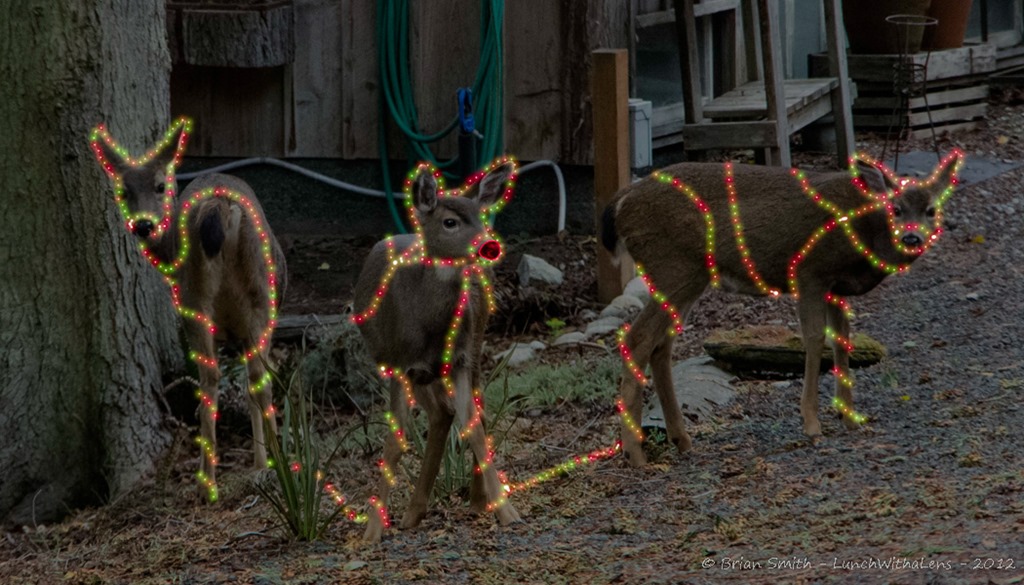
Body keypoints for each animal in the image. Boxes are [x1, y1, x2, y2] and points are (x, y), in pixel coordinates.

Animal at [90, 117, 287, 499]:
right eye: (123, 191)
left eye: (160, 185)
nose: (144, 224)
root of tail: (219, 206)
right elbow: (250, 385)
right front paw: (260, 462)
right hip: (257, 295)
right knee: (256, 378)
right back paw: (271, 467)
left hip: (198, 302)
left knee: (212, 380)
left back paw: (207, 481)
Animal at [352, 158, 522, 543]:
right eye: (450, 221)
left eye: (482, 216)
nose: (489, 245)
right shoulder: (398, 363)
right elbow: (394, 441)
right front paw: (372, 531)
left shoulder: (457, 360)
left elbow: (472, 426)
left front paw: (506, 511)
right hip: (418, 371)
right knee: (443, 413)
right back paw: (413, 512)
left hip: (474, 344)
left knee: (466, 412)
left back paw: (465, 501)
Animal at [601, 151, 964, 466]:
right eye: (897, 208)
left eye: (932, 210)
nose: (912, 238)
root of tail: (621, 203)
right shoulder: (810, 272)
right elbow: (815, 339)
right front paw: (812, 424)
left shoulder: (836, 287)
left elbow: (843, 340)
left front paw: (850, 416)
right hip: (675, 266)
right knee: (638, 339)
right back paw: (635, 454)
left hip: (685, 276)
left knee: (661, 345)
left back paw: (681, 440)